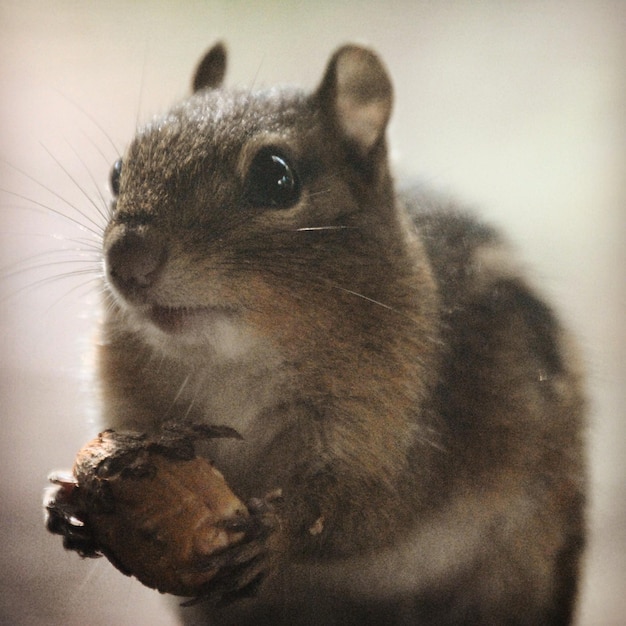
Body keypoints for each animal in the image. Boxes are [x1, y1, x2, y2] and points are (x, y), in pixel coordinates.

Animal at [45, 44, 584, 624]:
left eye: (275, 177)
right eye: (118, 170)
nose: (127, 260)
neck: (230, 359)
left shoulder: (404, 430)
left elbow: (364, 510)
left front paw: (280, 533)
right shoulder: (129, 403)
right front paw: (66, 497)